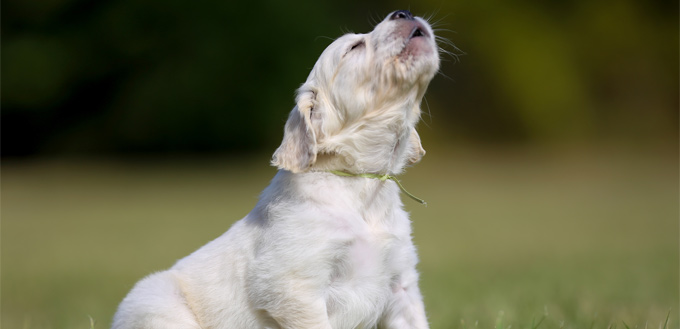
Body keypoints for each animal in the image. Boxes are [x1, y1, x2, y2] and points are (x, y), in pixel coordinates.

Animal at [111, 10, 440, 328]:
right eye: (354, 47)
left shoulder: (402, 284)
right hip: (157, 303)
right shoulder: (296, 288)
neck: (361, 183)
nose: (404, 12)